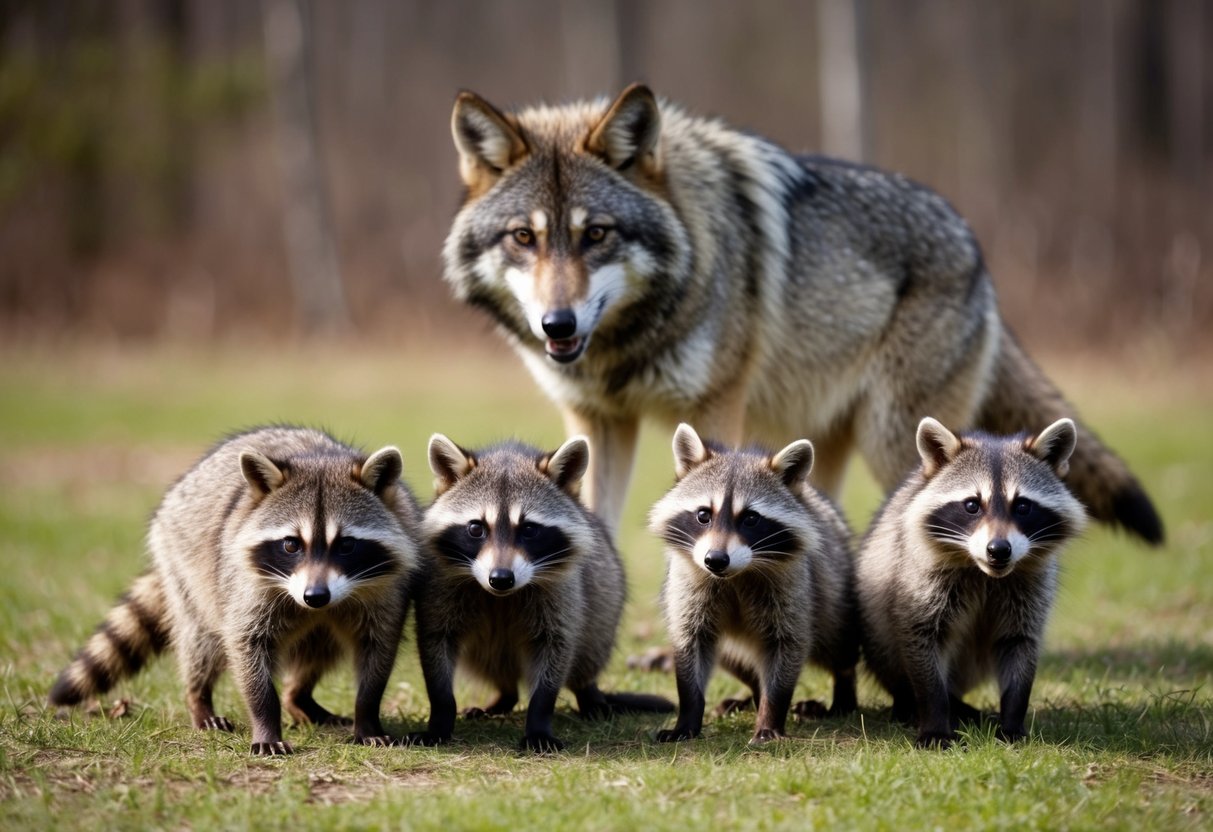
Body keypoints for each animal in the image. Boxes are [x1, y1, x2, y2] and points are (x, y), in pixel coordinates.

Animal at [49, 426, 421, 755]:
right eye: (291, 544)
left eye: (346, 545)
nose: (315, 597)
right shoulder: (245, 585)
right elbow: (246, 645)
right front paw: (265, 720)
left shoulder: (387, 590)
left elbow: (378, 649)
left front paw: (366, 717)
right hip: (184, 565)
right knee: (201, 642)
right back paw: (198, 697)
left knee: (319, 649)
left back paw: (298, 696)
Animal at [409, 434, 672, 752]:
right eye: (475, 528)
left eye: (529, 529)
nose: (500, 578)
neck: (503, 596)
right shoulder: (441, 588)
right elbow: (436, 646)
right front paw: (440, 718)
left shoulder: (561, 594)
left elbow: (555, 651)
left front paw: (538, 722)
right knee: (489, 662)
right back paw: (504, 695)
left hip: (604, 599)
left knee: (591, 644)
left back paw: (588, 693)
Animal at [441, 83, 1162, 545]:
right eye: (524, 238)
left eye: (596, 235)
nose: (557, 326)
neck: (628, 341)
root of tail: (975, 248)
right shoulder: (596, 421)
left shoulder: (713, 409)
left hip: (894, 438)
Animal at [649, 424, 859, 745]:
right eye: (703, 515)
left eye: (750, 518)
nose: (715, 560)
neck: (736, 575)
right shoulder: (688, 587)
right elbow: (690, 644)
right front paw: (687, 717)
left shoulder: (794, 588)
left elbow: (788, 645)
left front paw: (771, 714)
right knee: (735, 659)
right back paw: (752, 693)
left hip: (834, 590)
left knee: (838, 641)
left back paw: (843, 689)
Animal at [855, 417, 1087, 748]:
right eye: (972, 505)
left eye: (1023, 506)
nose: (999, 549)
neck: (985, 573)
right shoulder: (920, 583)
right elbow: (923, 642)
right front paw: (935, 719)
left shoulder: (1030, 589)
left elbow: (1020, 644)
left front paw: (1012, 720)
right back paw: (916, 704)